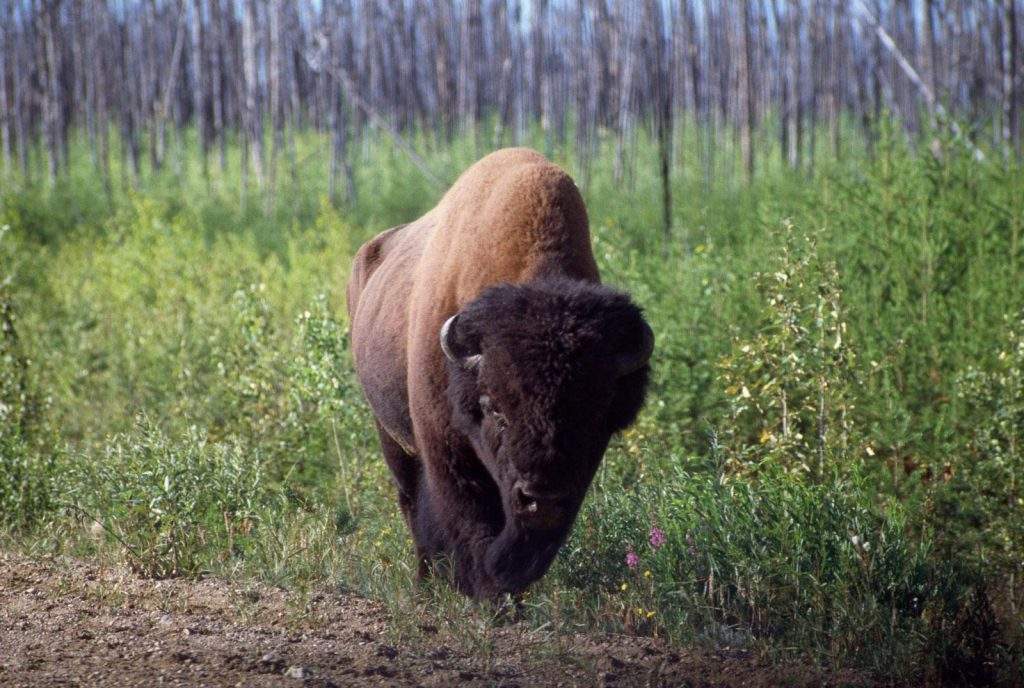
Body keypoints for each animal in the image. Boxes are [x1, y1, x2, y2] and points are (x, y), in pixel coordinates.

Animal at [348, 149, 651, 597]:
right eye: (495, 408)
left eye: (596, 417)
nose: (542, 496)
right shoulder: (445, 447)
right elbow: (470, 518)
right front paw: (487, 593)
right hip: (390, 433)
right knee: (410, 502)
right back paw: (427, 580)